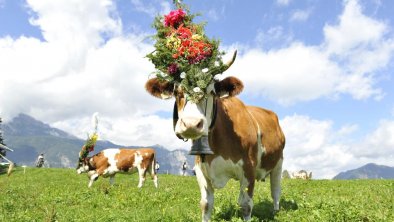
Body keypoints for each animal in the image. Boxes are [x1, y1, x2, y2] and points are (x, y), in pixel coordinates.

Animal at [145, 2, 284, 221]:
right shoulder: (201, 170)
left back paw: (275, 210)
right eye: (177, 92)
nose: (191, 124)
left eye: (210, 91)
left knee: (276, 189)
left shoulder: (249, 168)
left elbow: (246, 205)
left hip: (279, 162)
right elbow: (206, 204)